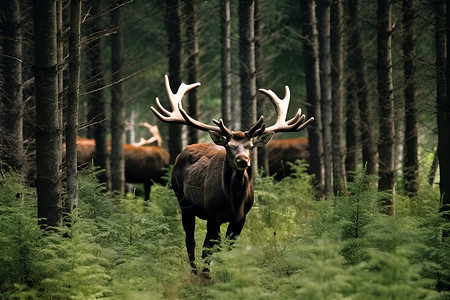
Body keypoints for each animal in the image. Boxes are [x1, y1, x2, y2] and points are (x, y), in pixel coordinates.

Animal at [151, 75, 312, 274]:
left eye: (251, 146)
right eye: (229, 146)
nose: (242, 160)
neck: (234, 200)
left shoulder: (241, 218)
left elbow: (226, 247)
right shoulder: (213, 214)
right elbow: (209, 247)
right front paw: (207, 274)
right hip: (183, 202)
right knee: (191, 239)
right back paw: (195, 271)